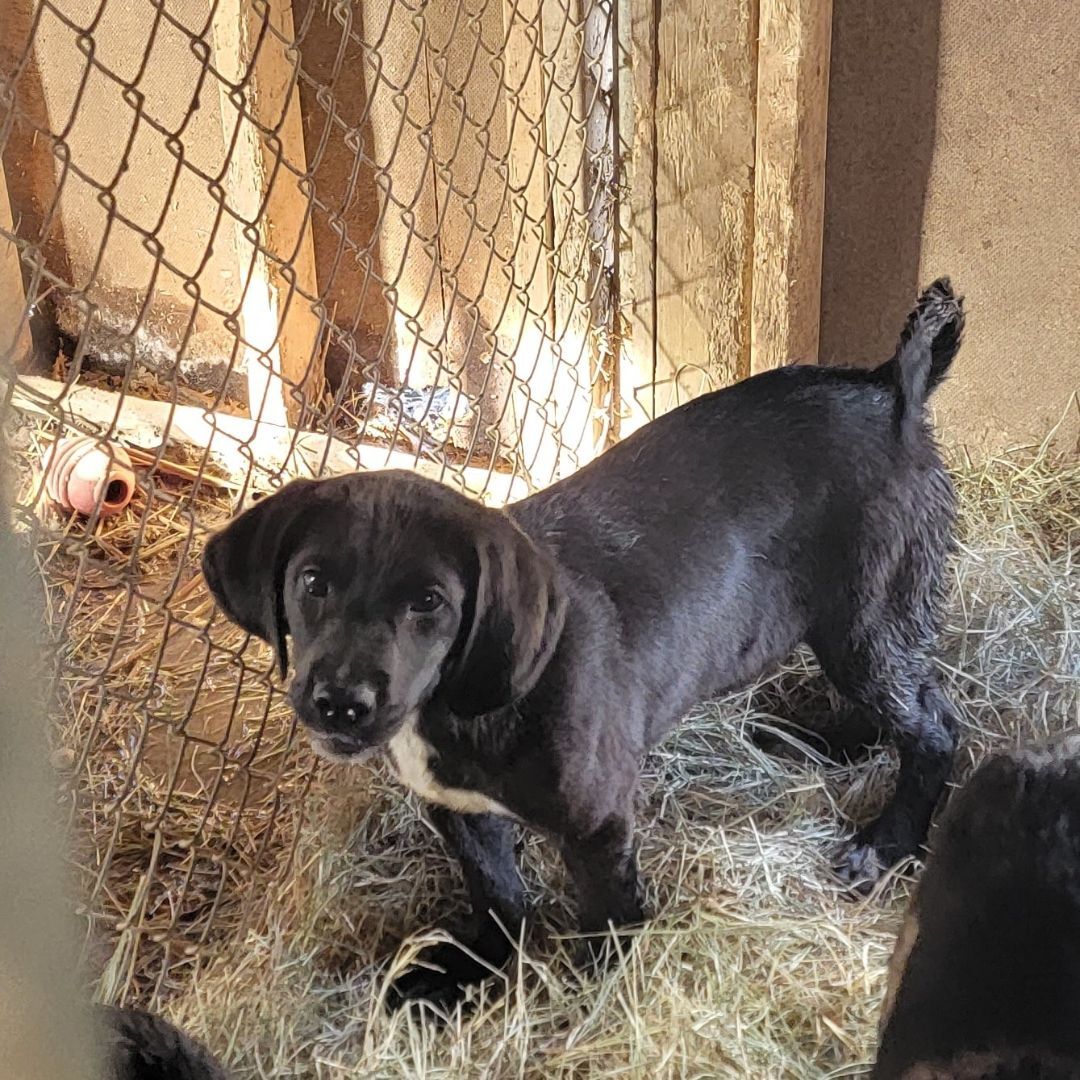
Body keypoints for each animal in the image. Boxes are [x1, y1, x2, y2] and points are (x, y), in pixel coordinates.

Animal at [206, 276, 967, 1002]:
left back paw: (885, 845)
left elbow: (608, 920)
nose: (340, 703)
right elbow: (496, 893)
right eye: (312, 583)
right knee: (897, 705)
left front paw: (595, 1000)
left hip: (865, 616)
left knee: (932, 722)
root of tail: (887, 388)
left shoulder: (598, 823)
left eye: (430, 603)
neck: (465, 698)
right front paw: (475, 970)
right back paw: (823, 743)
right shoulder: (461, 813)